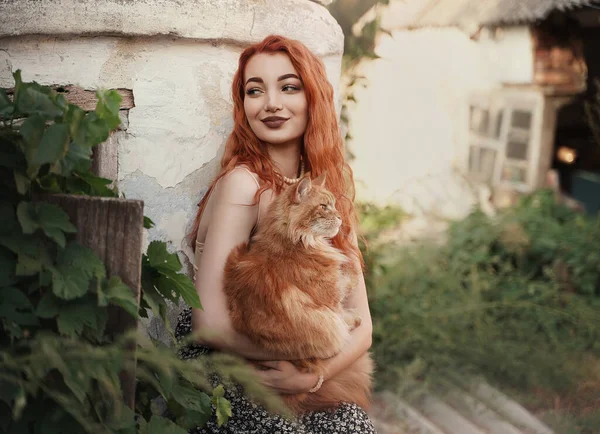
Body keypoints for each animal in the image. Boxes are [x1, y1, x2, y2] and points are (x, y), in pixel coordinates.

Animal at [223, 172, 372, 414]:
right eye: (324, 206)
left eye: (334, 205)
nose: (340, 218)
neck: (294, 242)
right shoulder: (331, 302)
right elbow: (343, 305)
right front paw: (354, 316)